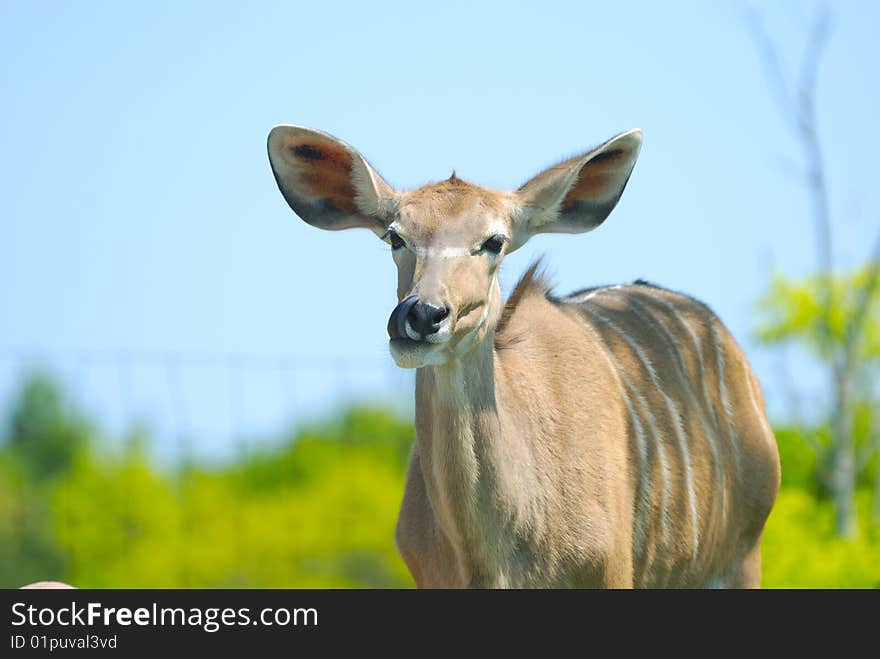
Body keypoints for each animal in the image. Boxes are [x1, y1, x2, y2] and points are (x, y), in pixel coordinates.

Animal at [264, 124, 780, 588]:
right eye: (395, 237)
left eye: (494, 241)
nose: (422, 315)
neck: (496, 557)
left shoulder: (612, 572)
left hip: (742, 558)